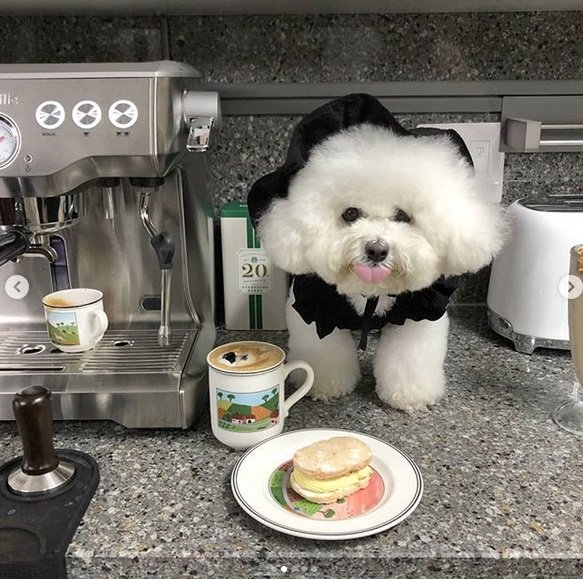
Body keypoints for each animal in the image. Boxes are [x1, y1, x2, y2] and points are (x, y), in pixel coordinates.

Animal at [246, 95, 506, 412]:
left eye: (403, 216)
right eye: (350, 213)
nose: (377, 249)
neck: (371, 293)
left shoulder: (420, 312)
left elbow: (409, 359)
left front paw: (410, 395)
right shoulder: (315, 309)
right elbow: (324, 353)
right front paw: (326, 386)